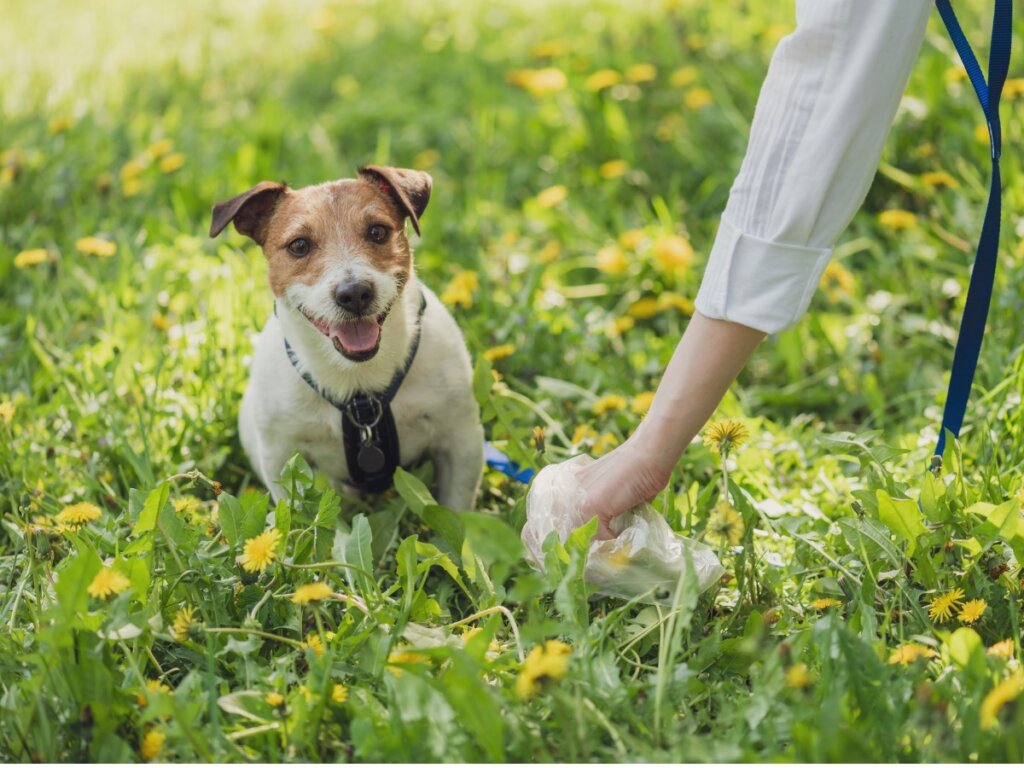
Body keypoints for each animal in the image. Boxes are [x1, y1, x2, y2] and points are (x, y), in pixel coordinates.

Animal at [209, 165, 485, 514]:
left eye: (378, 232)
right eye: (299, 245)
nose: (354, 294)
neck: (359, 387)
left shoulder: (460, 441)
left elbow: (456, 512)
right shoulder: (280, 457)